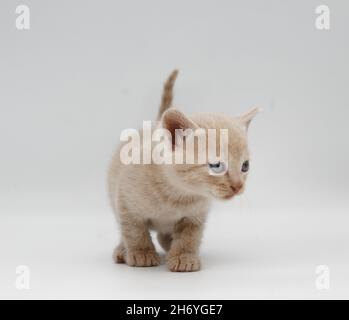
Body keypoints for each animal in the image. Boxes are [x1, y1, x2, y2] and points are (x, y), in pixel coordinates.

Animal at [109, 70, 258, 272]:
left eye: (245, 166)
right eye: (216, 165)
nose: (238, 186)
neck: (178, 193)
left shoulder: (195, 216)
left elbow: (189, 237)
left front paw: (183, 257)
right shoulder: (126, 203)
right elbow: (134, 231)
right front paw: (142, 253)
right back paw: (122, 250)